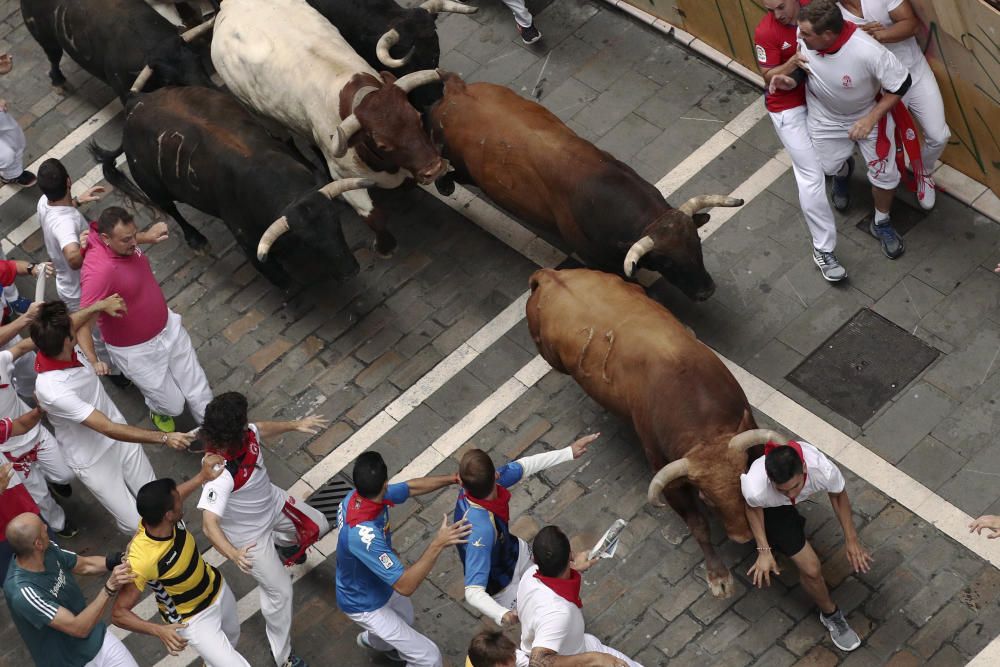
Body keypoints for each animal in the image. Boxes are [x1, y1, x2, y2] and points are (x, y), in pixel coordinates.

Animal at [428, 73, 744, 300]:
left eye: (697, 243)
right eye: (666, 262)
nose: (706, 291)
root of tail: (457, 90)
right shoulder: (596, 259)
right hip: (465, 168)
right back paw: (443, 184)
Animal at [528, 268, 784, 596]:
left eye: (740, 483)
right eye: (706, 497)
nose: (741, 537)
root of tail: (549, 275)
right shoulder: (669, 480)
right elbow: (698, 525)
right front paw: (718, 576)